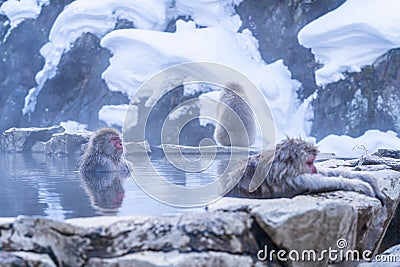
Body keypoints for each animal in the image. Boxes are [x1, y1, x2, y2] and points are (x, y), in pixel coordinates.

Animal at [225, 138, 384, 203]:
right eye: (309, 162)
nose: (314, 168)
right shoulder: (294, 180)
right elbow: (323, 182)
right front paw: (361, 185)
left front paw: (368, 178)